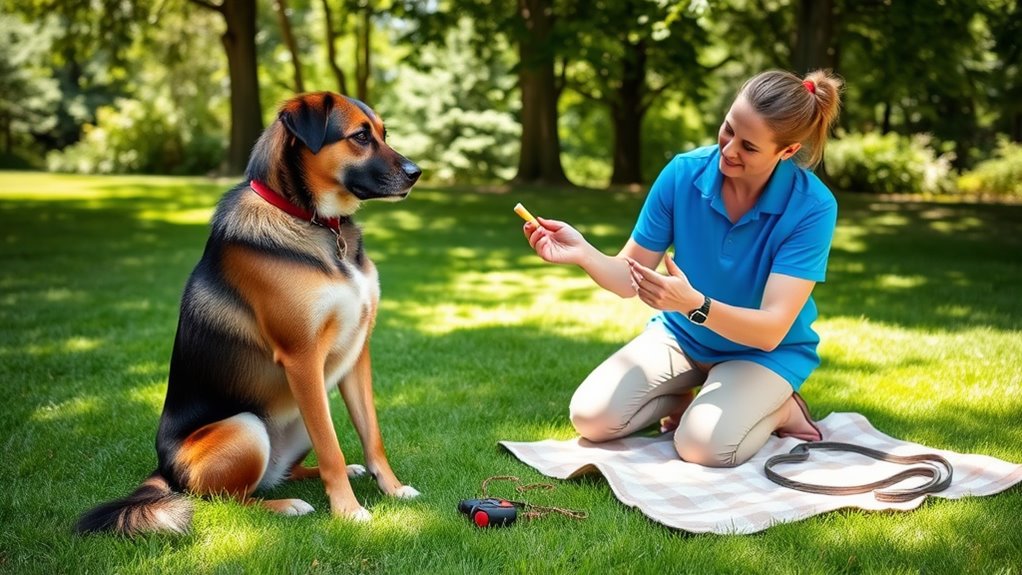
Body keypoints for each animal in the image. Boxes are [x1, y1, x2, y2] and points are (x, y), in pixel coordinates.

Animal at [74, 92, 419, 539]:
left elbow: (371, 434)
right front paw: (348, 511)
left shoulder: (357, 352)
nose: (417, 173)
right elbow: (331, 447)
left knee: (283, 473)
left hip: (300, 417)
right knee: (228, 499)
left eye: (383, 133)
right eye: (360, 136)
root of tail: (165, 470)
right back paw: (287, 505)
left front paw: (392, 488)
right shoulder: (301, 358)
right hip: (247, 427)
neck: (313, 221)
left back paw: (331, 475)